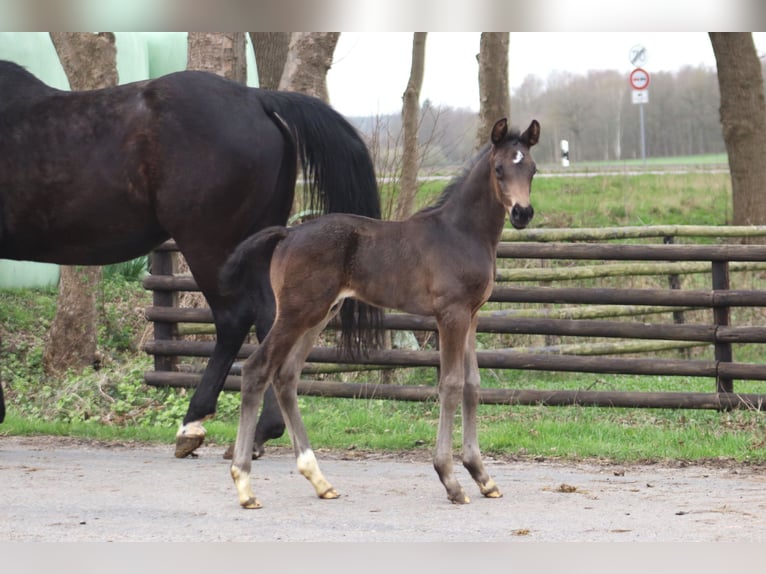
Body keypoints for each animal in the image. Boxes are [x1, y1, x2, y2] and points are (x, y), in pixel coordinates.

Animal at [0, 60, 382, 462]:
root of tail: (256, 98)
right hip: (256, 248)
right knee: (270, 320)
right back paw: (259, 431)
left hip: (210, 247)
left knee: (233, 319)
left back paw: (195, 423)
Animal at [222, 118, 544, 508]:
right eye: (498, 168)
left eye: (532, 168)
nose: (522, 213)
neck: (461, 232)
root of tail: (287, 233)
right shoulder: (450, 315)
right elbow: (451, 385)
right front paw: (451, 480)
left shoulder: (472, 315)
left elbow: (472, 385)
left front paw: (483, 476)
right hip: (297, 313)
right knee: (257, 370)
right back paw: (244, 485)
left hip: (319, 314)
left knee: (286, 377)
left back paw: (320, 480)